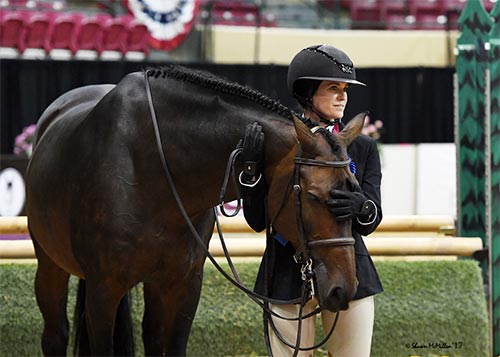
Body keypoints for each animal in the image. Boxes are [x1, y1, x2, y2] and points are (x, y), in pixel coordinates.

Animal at [25, 63, 366, 354]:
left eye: (355, 191)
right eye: (312, 196)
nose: (343, 289)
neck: (151, 166)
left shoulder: (185, 286)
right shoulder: (103, 290)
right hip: (50, 266)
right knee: (55, 334)